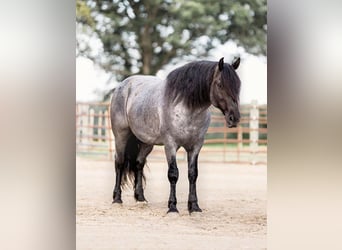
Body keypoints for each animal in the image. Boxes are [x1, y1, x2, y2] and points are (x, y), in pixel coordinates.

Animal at [111, 57, 242, 213]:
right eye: (220, 84)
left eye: (238, 85)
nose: (234, 118)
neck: (185, 107)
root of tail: (123, 85)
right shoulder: (170, 145)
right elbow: (173, 174)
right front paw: (172, 207)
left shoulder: (195, 146)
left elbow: (193, 174)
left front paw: (194, 206)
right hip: (121, 136)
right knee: (119, 163)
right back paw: (117, 199)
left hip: (146, 142)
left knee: (138, 164)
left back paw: (141, 199)